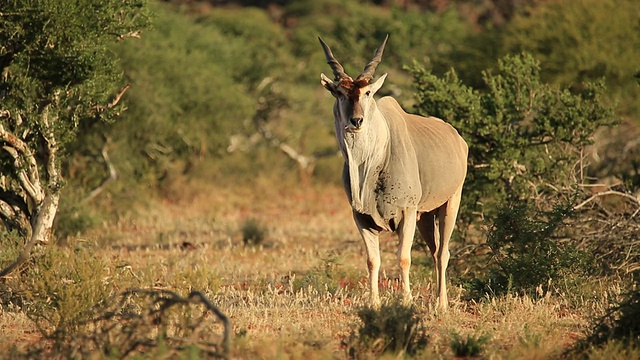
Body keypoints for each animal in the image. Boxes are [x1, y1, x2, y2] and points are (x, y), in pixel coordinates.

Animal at [318, 36, 468, 312]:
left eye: (367, 92)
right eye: (340, 92)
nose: (356, 121)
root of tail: (457, 138)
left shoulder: (406, 212)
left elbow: (403, 258)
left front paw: (406, 301)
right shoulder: (362, 218)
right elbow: (372, 260)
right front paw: (374, 303)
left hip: (450, 203)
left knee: (443, 253)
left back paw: (441, 303)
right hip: (424, 216)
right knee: (434, 251)